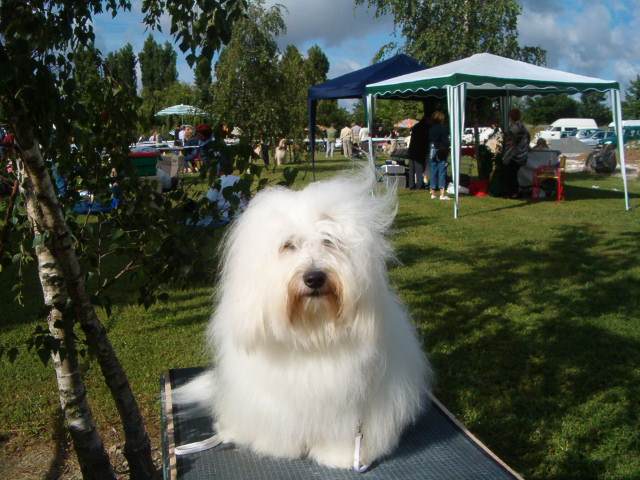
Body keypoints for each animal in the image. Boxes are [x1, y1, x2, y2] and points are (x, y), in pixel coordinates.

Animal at [177, 168, 431, 470]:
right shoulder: (274, 402)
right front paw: (277, 447)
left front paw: (339, 456)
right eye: (288, 245)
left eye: (329, 241)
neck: (313, 332)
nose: (314, 277)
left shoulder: (351, 409)